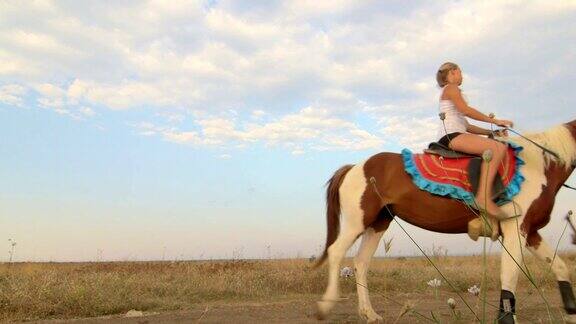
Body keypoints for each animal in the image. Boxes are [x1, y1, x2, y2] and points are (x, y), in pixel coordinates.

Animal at [316, 120, 576, 322]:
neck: (539, 165)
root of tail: (355, 167)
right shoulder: (516, 230)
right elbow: (510, 276)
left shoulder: (530, 232)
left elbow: (560, 267)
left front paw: (571, 311)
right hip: (357, 223)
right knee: (336, 252)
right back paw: (326, 306)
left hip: (378, 223)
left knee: (361, 262)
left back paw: (369, 313)